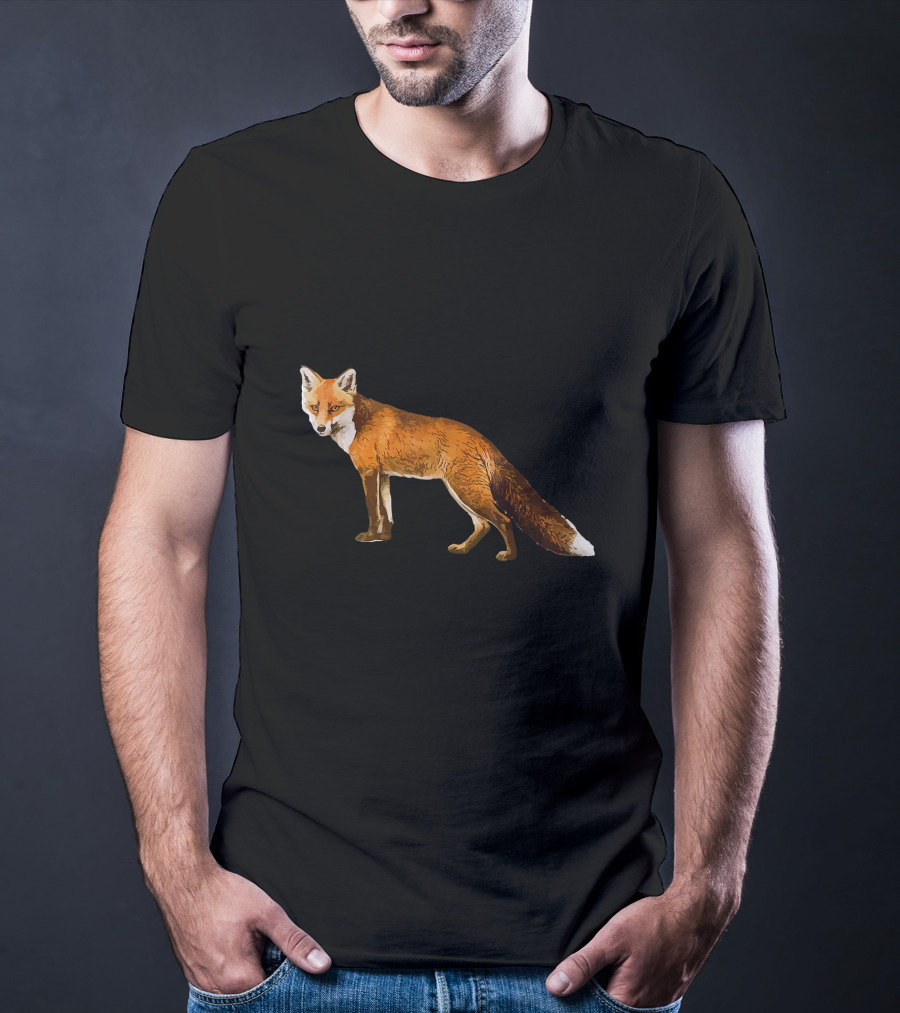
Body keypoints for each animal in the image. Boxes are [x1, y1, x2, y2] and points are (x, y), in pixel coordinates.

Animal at [299, 365, 594, 562]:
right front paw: (384, 538)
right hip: (460, 491)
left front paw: (370, 537)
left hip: (466, 491)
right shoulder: (383, 475)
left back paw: (508, 556)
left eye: (334, 408)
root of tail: (481, 437)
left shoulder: (369, 472)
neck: (357, 423)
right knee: (483, 525)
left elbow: (374, 513)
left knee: (503, 520)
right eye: (314, 407)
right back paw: (463, 549)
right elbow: (387, 513)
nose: (321, 428)